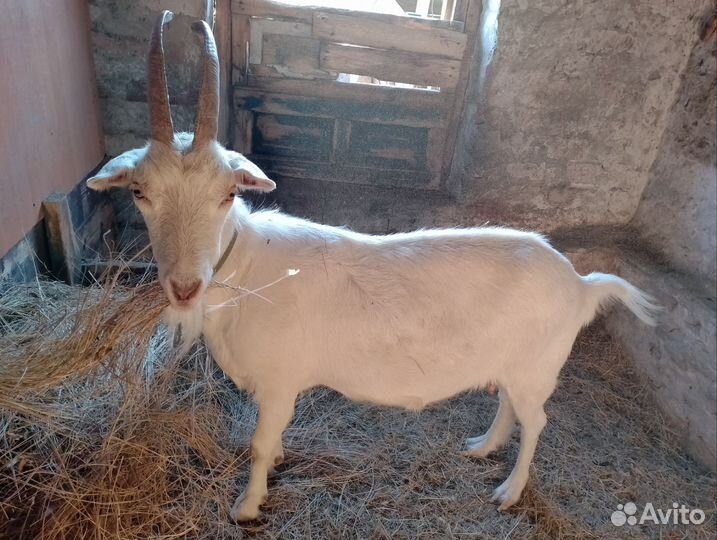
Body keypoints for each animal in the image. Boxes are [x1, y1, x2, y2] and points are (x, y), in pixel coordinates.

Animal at [87, 12, 658, 521]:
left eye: (228, 194)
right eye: (139, 192)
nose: (185, 288)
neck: (247, 273)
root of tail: (581, 283)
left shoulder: (279, 381)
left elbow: (258, 444)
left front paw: (247, 505)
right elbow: (271, 440)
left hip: (539, 364)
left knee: (537, 419)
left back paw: (509, 491)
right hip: (515, 362)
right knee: (509, 406)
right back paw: (482, 446)